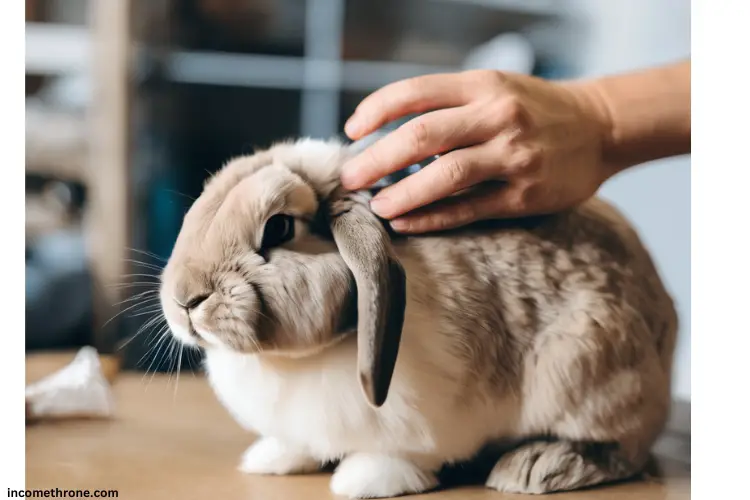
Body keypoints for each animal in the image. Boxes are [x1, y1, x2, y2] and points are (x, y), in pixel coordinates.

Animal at [160, 136, 680, 496]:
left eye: (279, 227)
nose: (184, 299)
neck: (290, 361)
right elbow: (298, 442)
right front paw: (271, 458)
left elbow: (396, 455)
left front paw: (363, 481)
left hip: (587, 363)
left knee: (626, 449)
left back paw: (536, 467)